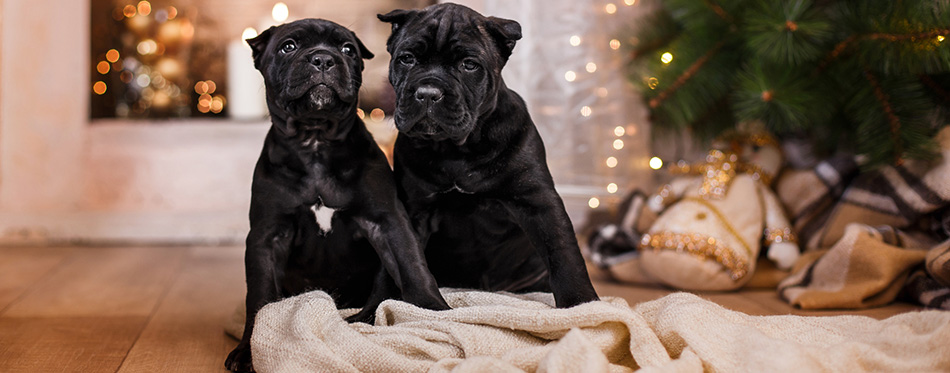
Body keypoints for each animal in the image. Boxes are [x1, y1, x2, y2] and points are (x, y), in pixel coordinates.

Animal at [225, 18, 448, 370]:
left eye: (347, 49)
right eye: (288, 46)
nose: (323, 59)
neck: (315, 141)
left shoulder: (388, 223)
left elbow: (414, 267)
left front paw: (438, 314)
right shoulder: (267, 236)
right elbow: (260, 298)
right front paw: (248, 349)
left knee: (379, 294)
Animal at [380, 4, 604, 308]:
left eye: (469, 64)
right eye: (407, 59)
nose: (427, 93)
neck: (456, 149)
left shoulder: (537, 201)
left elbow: (563, 251)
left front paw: (581, 304)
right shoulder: (414, 209)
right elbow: (406, 261)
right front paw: (376, 308)